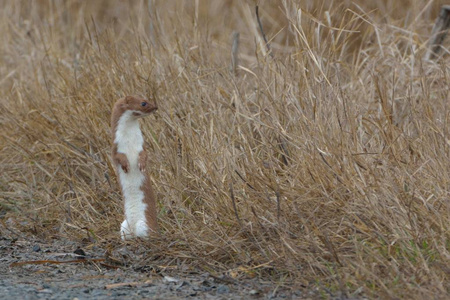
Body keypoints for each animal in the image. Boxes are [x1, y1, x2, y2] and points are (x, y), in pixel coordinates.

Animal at [111, 95, 159, 240]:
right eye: (143, 103)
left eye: (148, 99)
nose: (156, 107)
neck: (129, 139)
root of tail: (133, 229)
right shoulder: (116, 147)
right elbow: (118, 157)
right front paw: (126, 165)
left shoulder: (141, 145)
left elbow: (144, 154)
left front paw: (141, 165)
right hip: (123, 225)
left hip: (144, 223)